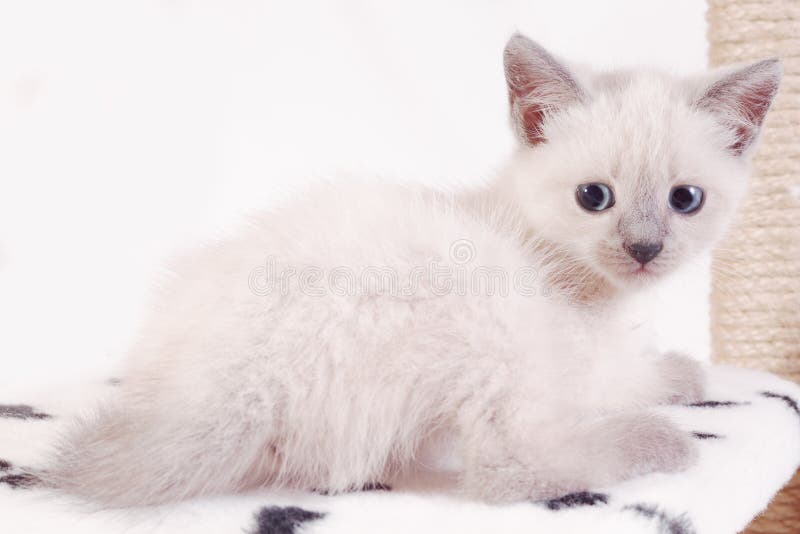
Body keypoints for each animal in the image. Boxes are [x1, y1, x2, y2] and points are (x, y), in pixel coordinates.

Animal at [39, 34, 780, 510]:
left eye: (686, 200)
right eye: (594, 197)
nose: (644, 248)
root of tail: (239, 389)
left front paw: (677, 370)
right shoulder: (570, 360)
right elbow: (629, 377)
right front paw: (682, 377)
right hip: (491, 316)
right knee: (508, 468)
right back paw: (659, 443)